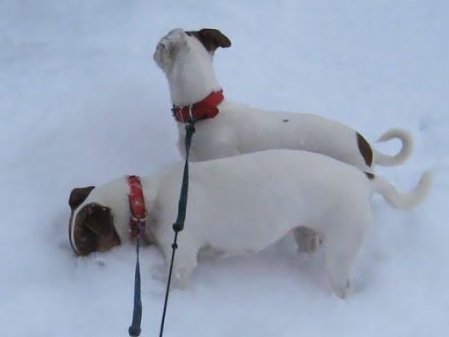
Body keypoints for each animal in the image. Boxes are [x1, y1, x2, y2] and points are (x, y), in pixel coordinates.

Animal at [67, 151, 430, 298]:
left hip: (341, 253)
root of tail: (363, 179)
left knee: (345, 285)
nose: (74, 269)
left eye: (84, 243)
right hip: (306, 232)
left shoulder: (182, 256)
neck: (144, 199)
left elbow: (178, 276)